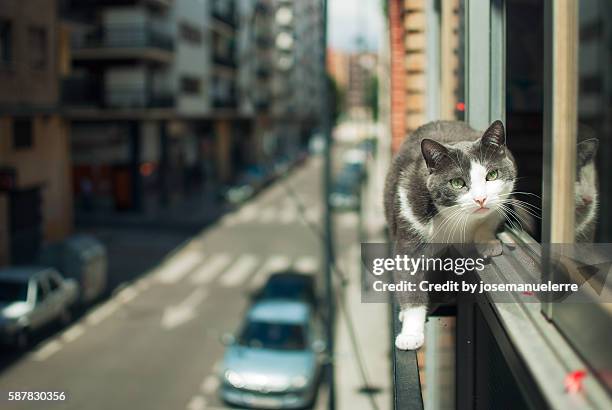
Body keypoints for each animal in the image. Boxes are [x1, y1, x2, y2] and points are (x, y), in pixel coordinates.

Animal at [382, 120, 516, 350]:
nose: (481, 199)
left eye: (492, 175)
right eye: (457, 183)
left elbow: (490, 219)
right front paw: (410, 334)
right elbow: (410, 284)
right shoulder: (409, 222)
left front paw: (488, 242)